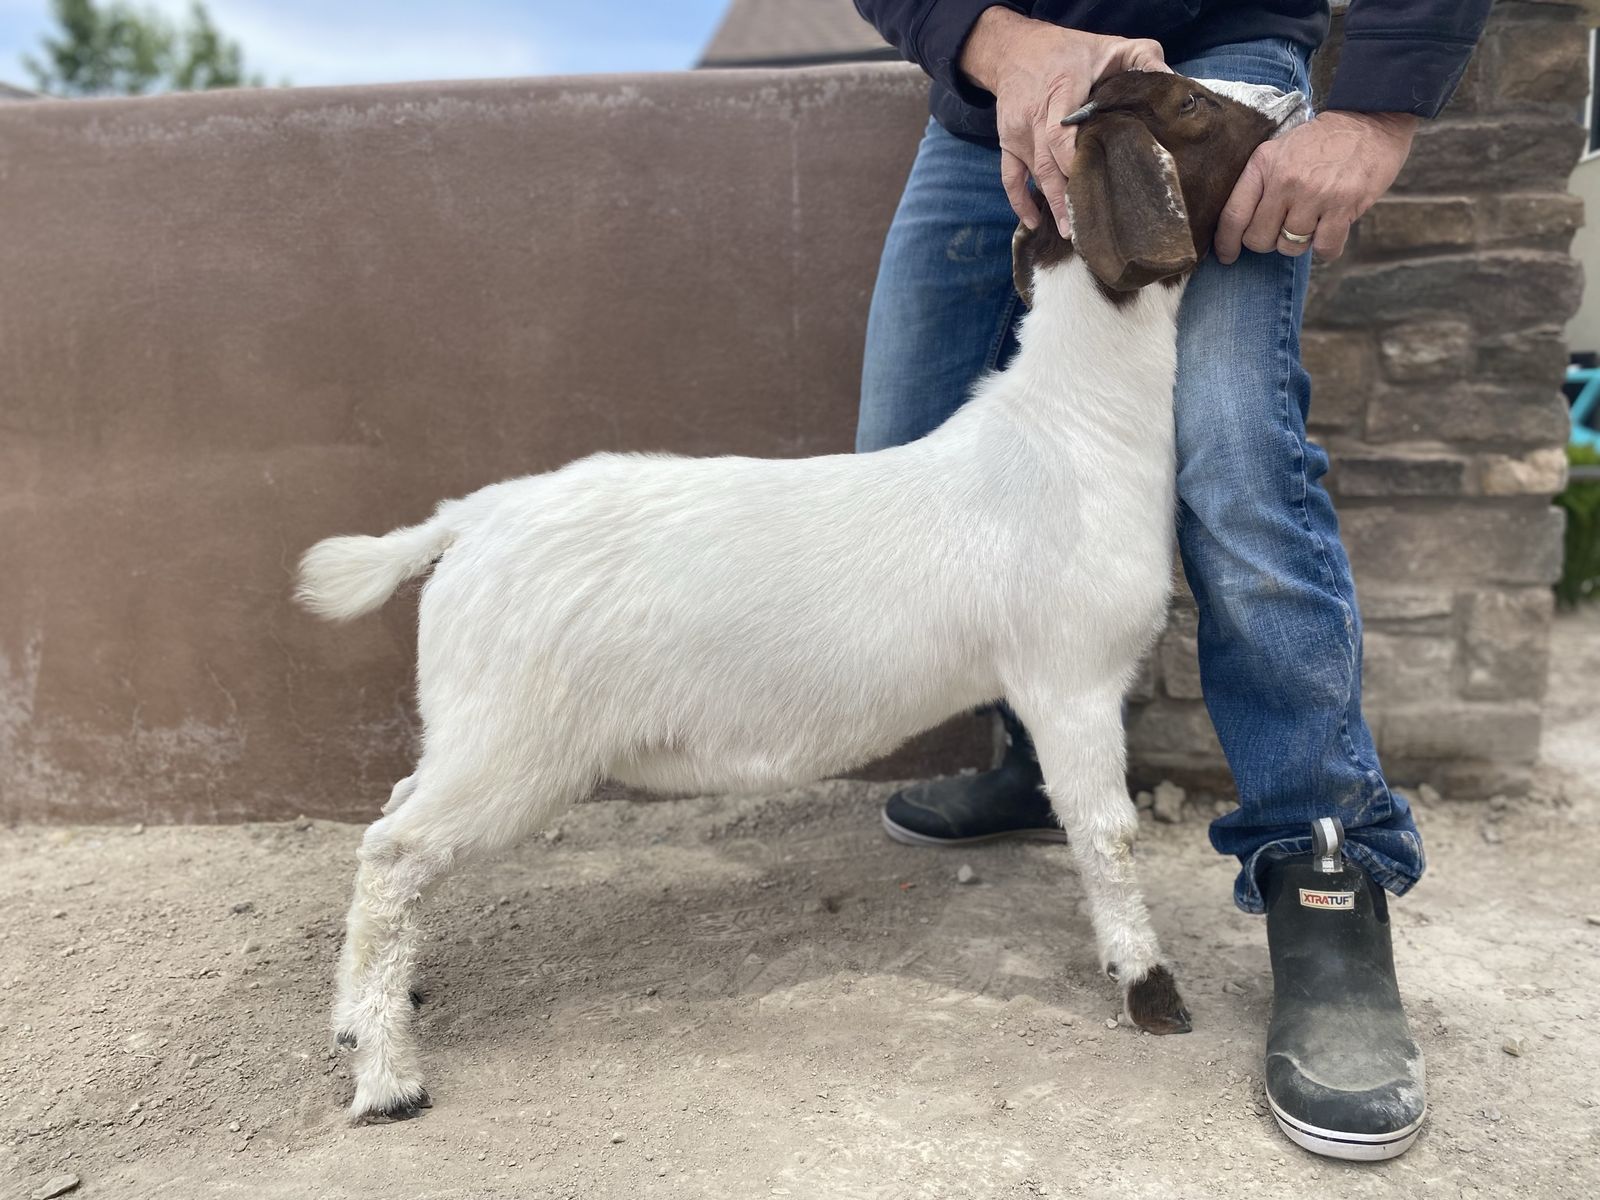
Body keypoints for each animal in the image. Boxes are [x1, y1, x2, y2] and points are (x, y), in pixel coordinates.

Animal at [295, 71, 1307, 1120]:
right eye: (1189, 106)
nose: (1286, 97)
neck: (1074, 428)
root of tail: (466, 522)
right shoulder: (1072, 679)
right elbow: (1108, 836)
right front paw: (1150, 988)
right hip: (516, 743)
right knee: (393, 851)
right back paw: (385, 1072)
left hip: (473, 726)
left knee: (398, 812)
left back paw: (382, 1004)